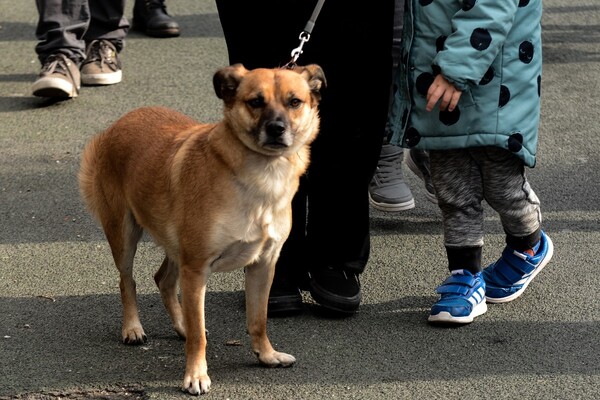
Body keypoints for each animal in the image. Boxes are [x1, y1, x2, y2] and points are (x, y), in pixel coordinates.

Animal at [79, 64, 326, 396]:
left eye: (294, 102)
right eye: (255, 102)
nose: (276, 128)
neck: (260, 176)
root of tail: (120, 122)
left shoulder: (262, 266)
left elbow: (258, 319)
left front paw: (266, 355)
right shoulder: (196, 269)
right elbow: (199, 337)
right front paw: (195, 375)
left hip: (175, 246)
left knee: (163, 280)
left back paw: (181, 324)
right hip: (124, 234)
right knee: (126, 281)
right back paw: (133, 327)